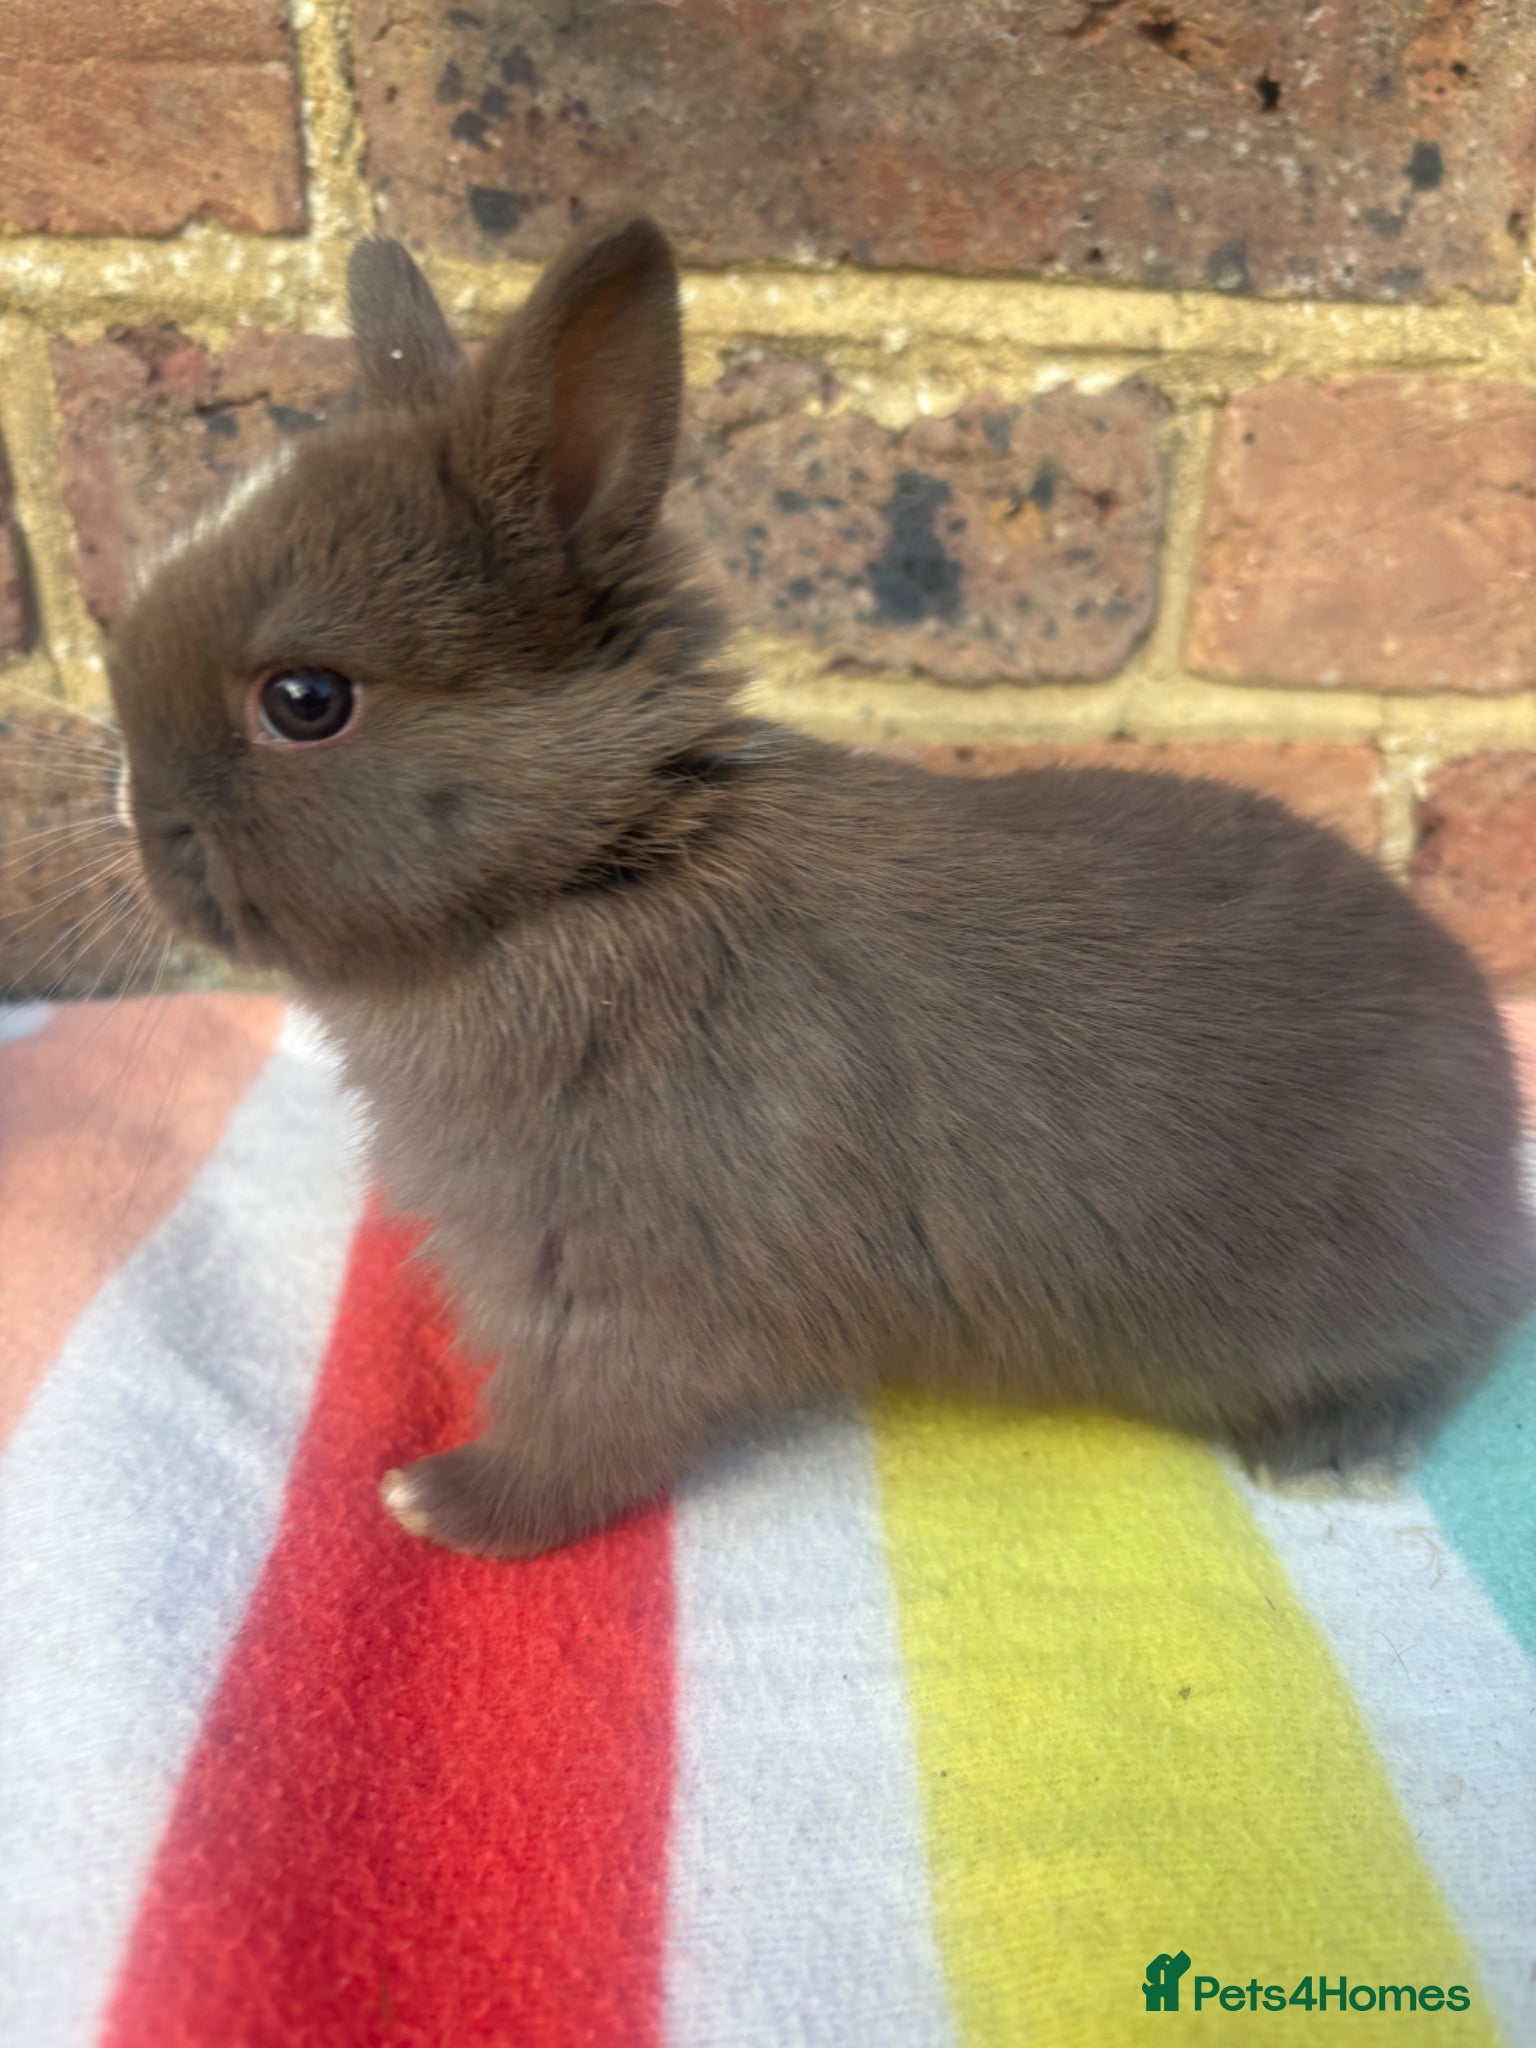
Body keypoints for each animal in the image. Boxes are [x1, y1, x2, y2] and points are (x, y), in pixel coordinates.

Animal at [106, 214, 1534, 1558]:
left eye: (305, 699)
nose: (137, 822)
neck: (590, 872)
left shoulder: (628, 1292)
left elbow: (590, 1433)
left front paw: (444, 1503)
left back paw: (1326, 1451)